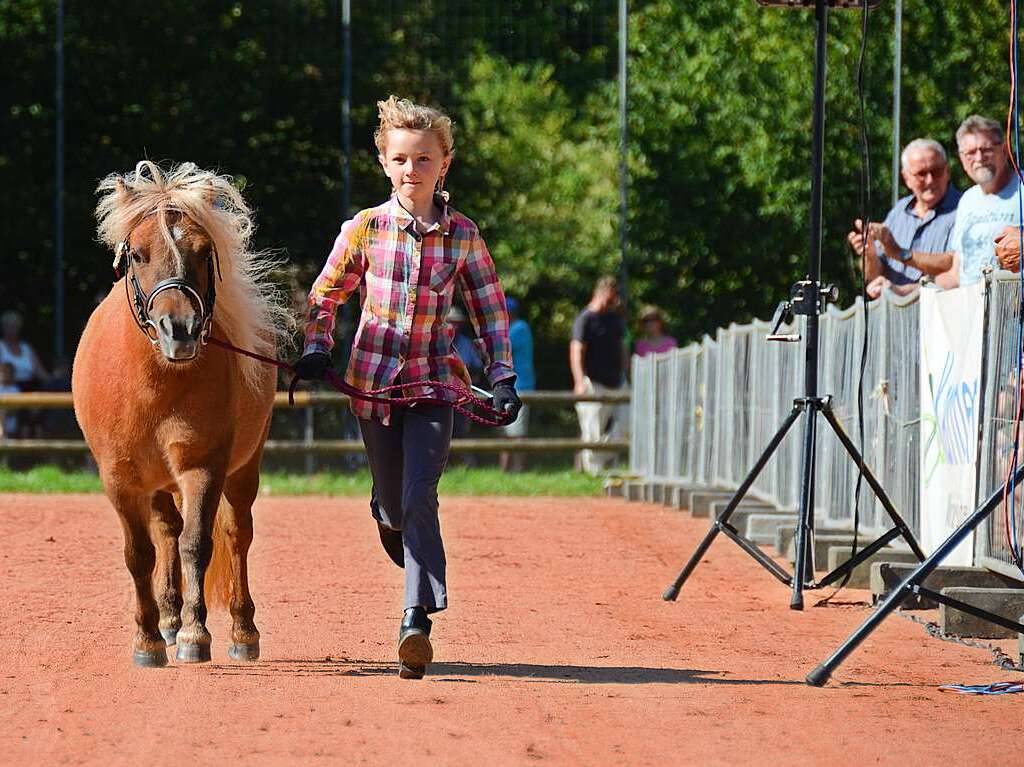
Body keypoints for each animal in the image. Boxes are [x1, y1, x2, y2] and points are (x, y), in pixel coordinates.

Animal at [73, 161, 290, 663]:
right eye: (136, 254)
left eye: (204, 251)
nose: (181, 329)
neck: (156, 381)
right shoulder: (121, 477)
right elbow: (140, 554)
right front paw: (149, 638)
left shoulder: (203, 467)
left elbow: (197, 544)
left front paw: (196, 635)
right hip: (155, 483)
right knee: (165, 532)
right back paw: (168, 619)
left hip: (244, 469)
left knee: (236, 535)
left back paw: (241, 633)